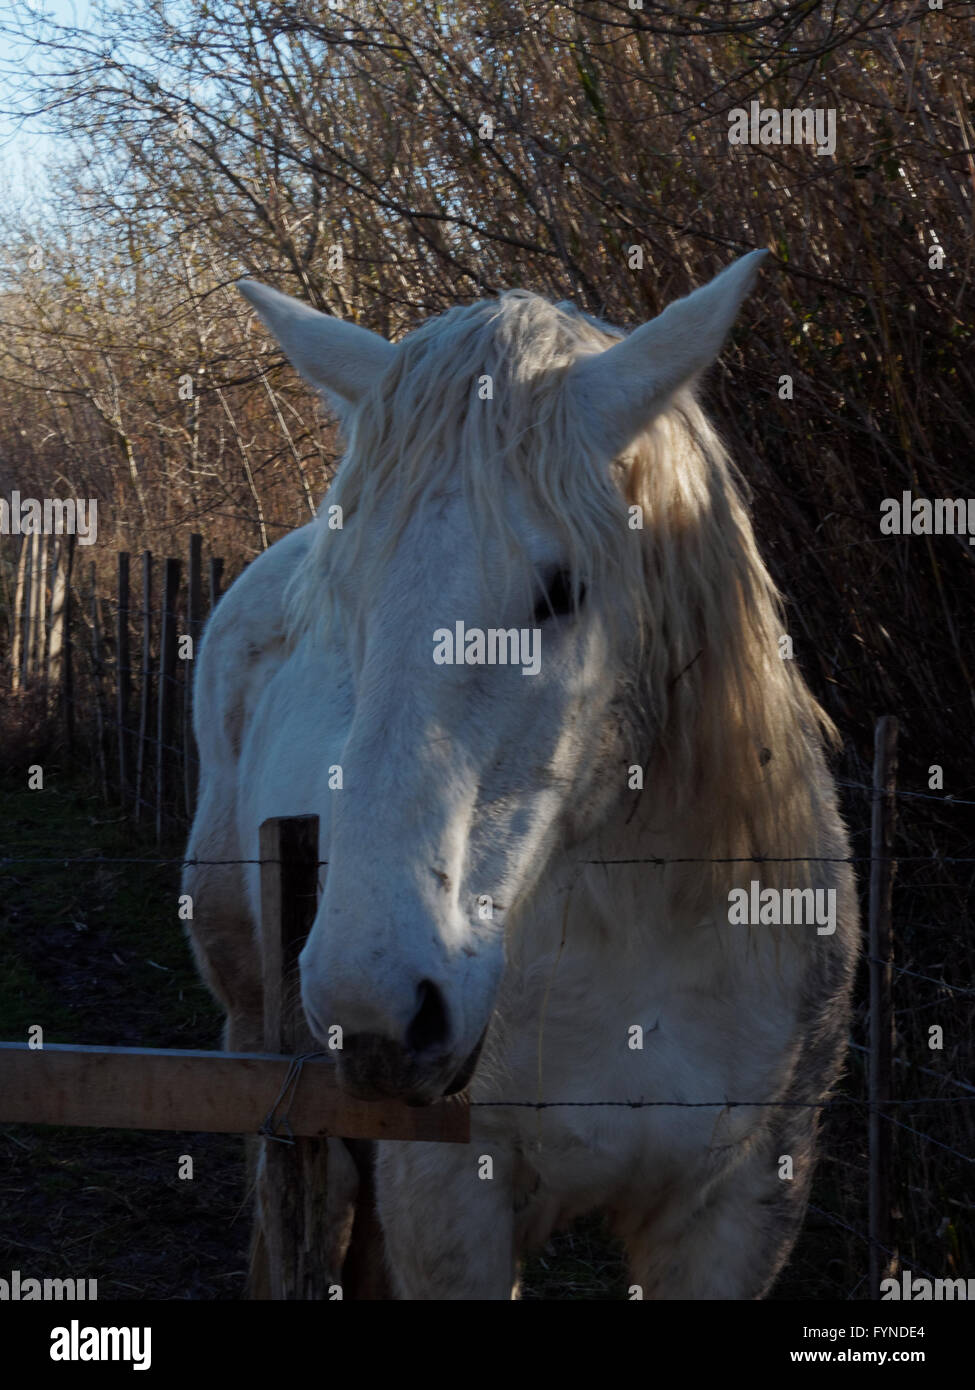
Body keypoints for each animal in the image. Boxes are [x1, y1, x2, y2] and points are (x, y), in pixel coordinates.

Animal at [180, 252, 851, 1301]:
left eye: (562, 589)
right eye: (348, 594)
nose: (373, 1008)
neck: (639, 932)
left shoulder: (736, 1213)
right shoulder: (451, 1202)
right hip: (260, 1041)